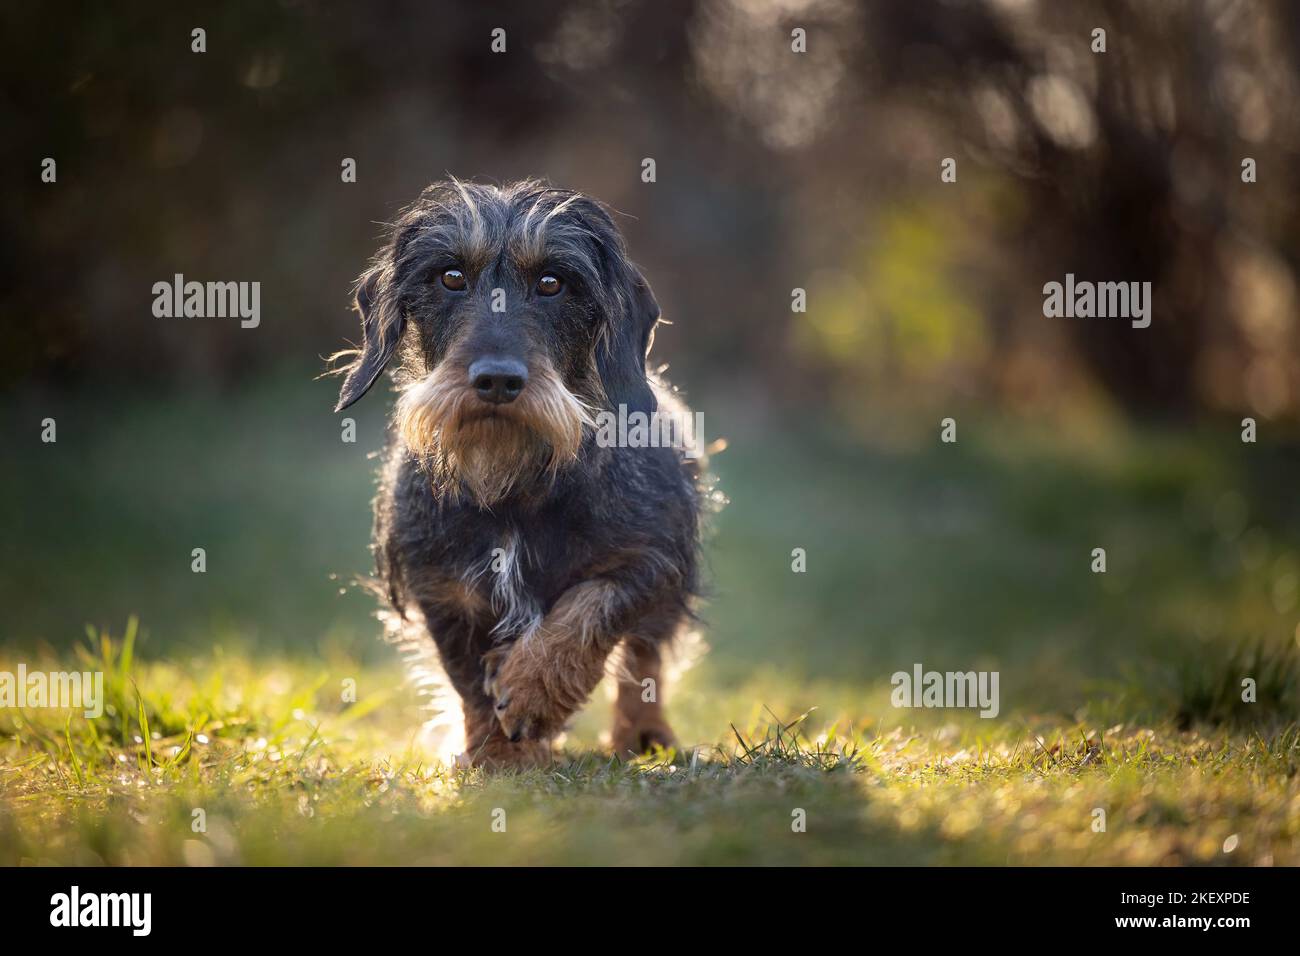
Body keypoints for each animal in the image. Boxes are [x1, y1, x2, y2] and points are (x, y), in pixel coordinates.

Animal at [330, 179, 707, 770]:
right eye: (450, 277)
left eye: (552, 283)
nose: (498, 380)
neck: (510, 481)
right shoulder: (443, 591)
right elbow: (469, 683)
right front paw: (498, 756)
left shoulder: (652, 560)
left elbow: (591, 608)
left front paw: (533, 692)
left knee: (643, 661)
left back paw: (644, 733)